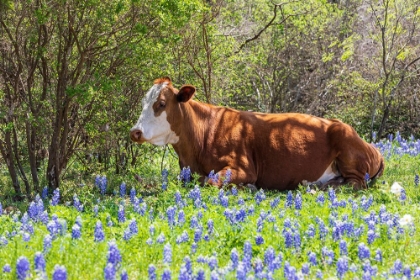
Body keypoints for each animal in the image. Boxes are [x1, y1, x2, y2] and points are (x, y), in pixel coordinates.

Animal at [130, 76, 384, 190]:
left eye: (161, 103)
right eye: (143, 102)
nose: (135, 131)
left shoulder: (243, 167)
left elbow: (210, 179)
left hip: (347, 148)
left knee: (355, 183)